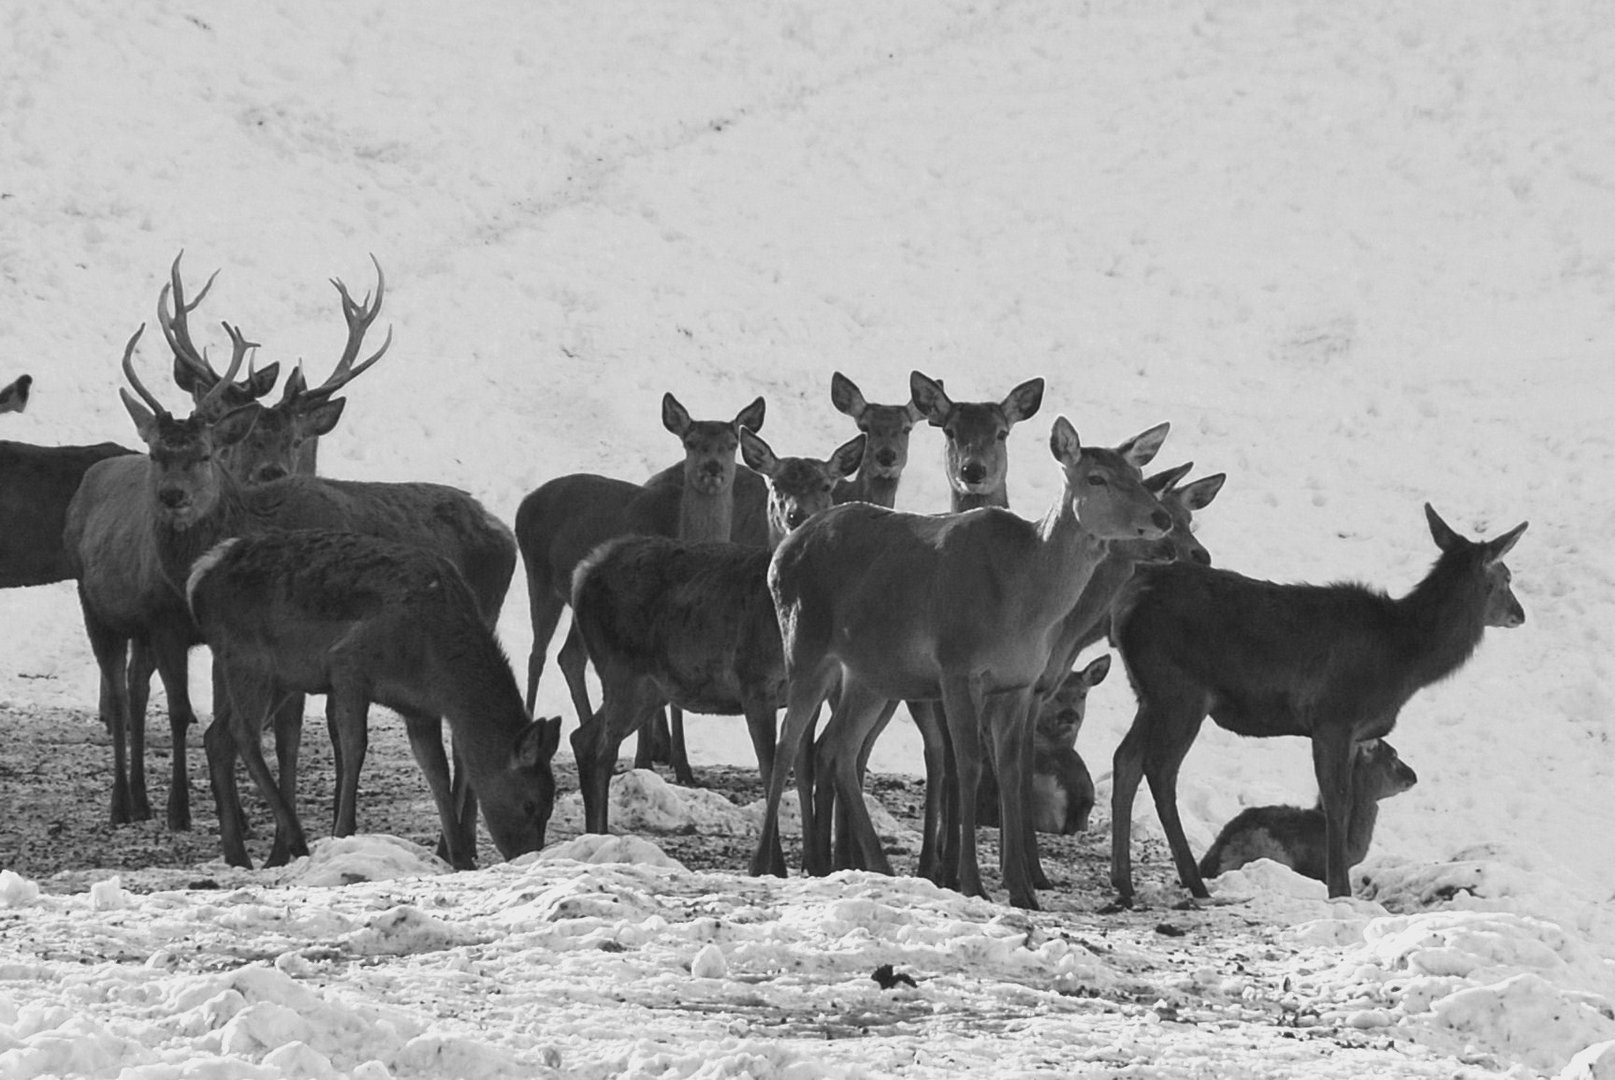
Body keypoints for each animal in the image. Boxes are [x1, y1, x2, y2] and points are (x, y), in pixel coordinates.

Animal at [189, 526, 562, 865]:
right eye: (529, 804)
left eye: (550, 806)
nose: (525, 855)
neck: (436, 665)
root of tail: (198, 578)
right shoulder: (348, 665)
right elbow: (355, 748)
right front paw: (343, 832)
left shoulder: (420, 710)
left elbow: (436, 770)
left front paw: (459, 858)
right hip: (247, 657)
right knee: (242, 732)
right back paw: (294, 839)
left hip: (281, 676)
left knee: (217, 735)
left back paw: (238, 855)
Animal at [571, 426, 872, 839]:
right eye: (776, 484)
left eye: (826, 485)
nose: (798, 515)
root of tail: (583, 573)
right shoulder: (753, 683)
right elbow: (769, 771)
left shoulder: (812, 690)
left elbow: (803, 771)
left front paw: (812, 853)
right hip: (621, 667)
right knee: (598, 746)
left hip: (651, 684)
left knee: (585, 738)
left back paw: (595, 835)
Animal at [755, 416, 1175, 904]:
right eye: (1097, 478)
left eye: (1139, 476)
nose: (1161, 518)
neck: (1024, 604)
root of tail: (783, 551)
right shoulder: (957, 666)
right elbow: (970, 765)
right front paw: (972, 882)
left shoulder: (1019, 683)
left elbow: (1011, 771)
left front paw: (1022, 888)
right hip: (804, 642)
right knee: (789, 743)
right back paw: (766, 863)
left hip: (872, 674)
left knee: (836, 748)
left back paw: (877, 866)